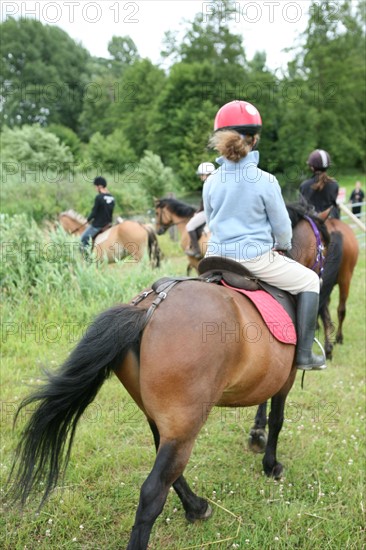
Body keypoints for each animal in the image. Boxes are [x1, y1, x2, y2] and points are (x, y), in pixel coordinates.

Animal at [7, 205, 328, 548]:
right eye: (324, 241)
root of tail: (147, 309)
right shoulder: (286, 378)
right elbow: (277, 419)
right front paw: (270, 464)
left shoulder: (272, 375)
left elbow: (263, 407)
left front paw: (256, 435)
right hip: (185, 424)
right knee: (153, 491)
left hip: (163, 420)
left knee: (168, 470)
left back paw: (196, 506)